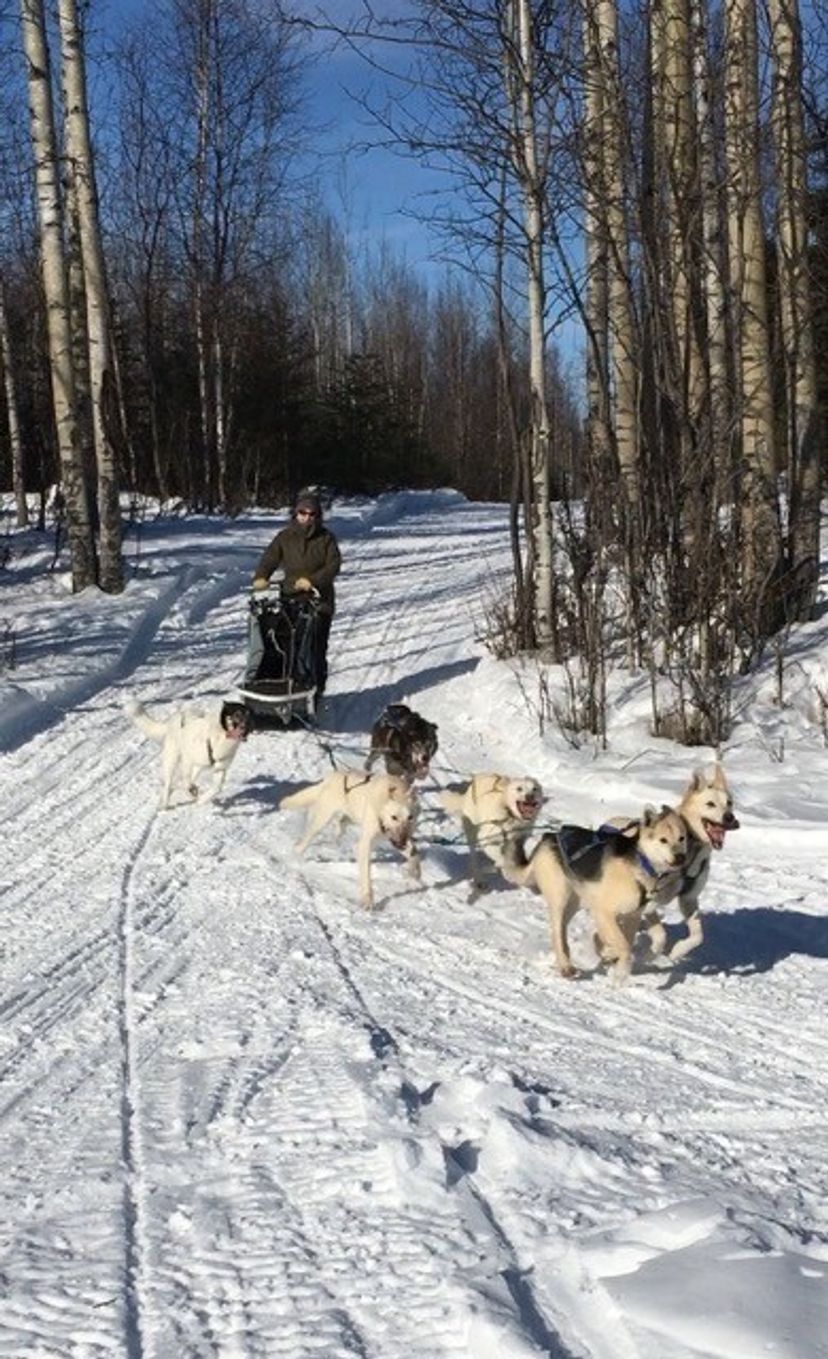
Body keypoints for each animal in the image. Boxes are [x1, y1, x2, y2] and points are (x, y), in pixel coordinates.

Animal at [278, 771, 418, 907]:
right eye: (394, 817)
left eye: (410, 817)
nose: (402, 841)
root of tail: (332, 776)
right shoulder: (365, 844)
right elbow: (366, 876)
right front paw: (367, 900)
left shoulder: (394, 838)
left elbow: (414, 853)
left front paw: (415, 874)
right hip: (321, 821)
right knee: (303, 842)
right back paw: (296, 857)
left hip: (350, 817)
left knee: (341, 823)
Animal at [516, 799, 685, 983]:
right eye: (663, 840)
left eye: (682, 838)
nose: (680, 857)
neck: (641, 865)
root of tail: (549, 837)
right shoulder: (604, 912)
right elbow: (623, 946)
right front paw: (620, 971)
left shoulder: (632, 915)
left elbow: (625, 941)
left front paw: (608, 953)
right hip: (560, 899)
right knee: (557, 933)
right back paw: (566, 966)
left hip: (575, 902)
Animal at [606, 766, 734, 967]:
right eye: (710, 804)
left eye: (729, 803)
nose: (730, 817)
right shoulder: (650, 901)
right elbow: (660, 935)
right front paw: (647, 955)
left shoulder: (689, 899)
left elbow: (697, 937)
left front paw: (677, 952)